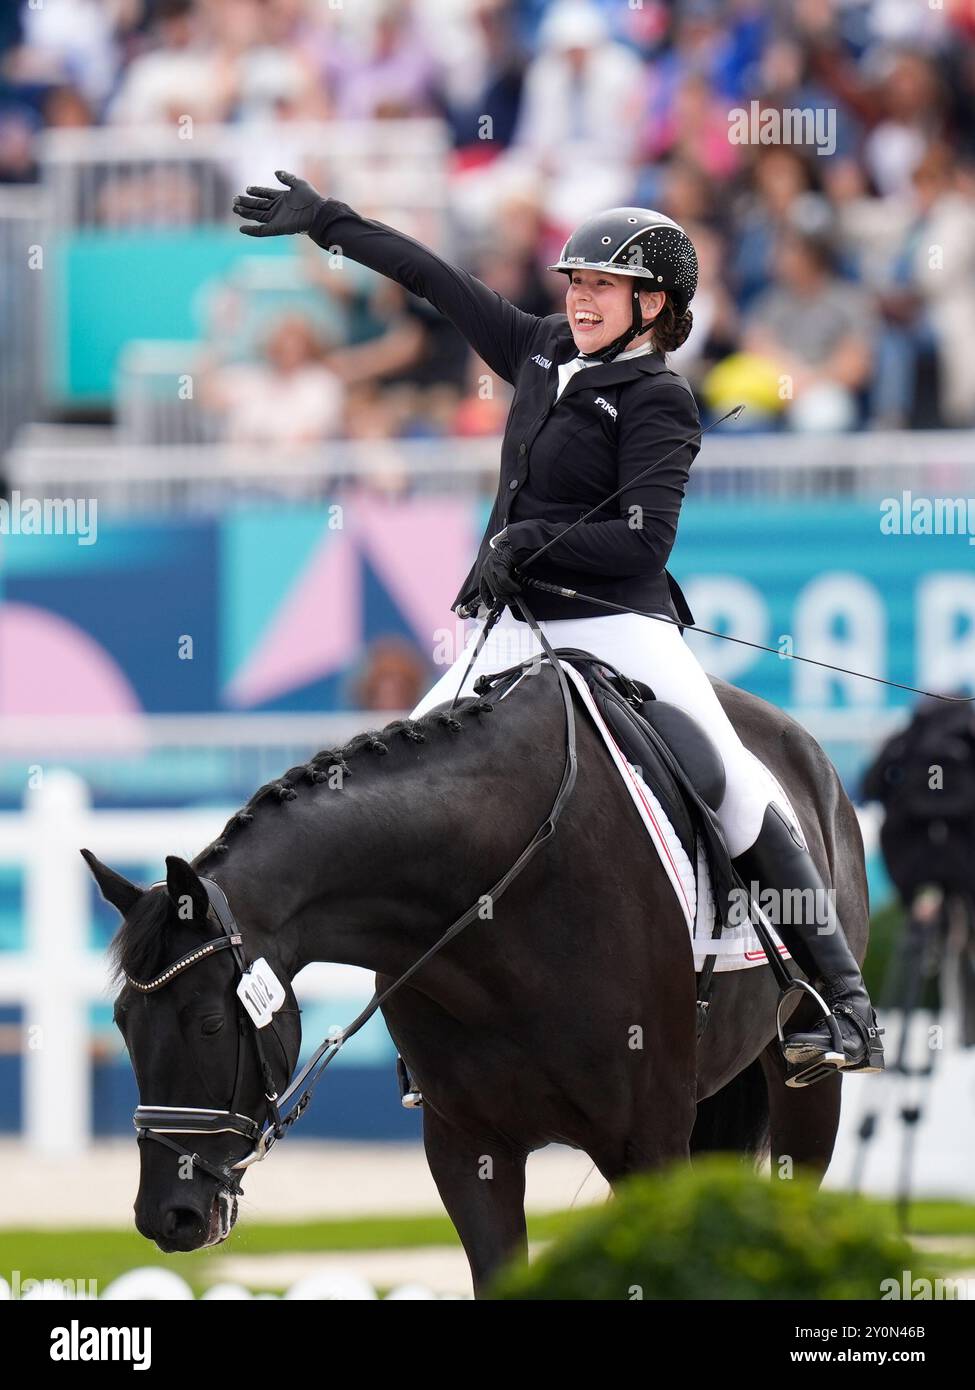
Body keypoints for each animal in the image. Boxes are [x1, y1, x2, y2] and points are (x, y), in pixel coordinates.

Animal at [81, 661, 856, 1289]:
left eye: (211, 1023)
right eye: (121, 1022)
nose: (167, 1217)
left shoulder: (648, 1140)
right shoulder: (467, 1147)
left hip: (802, 1085)